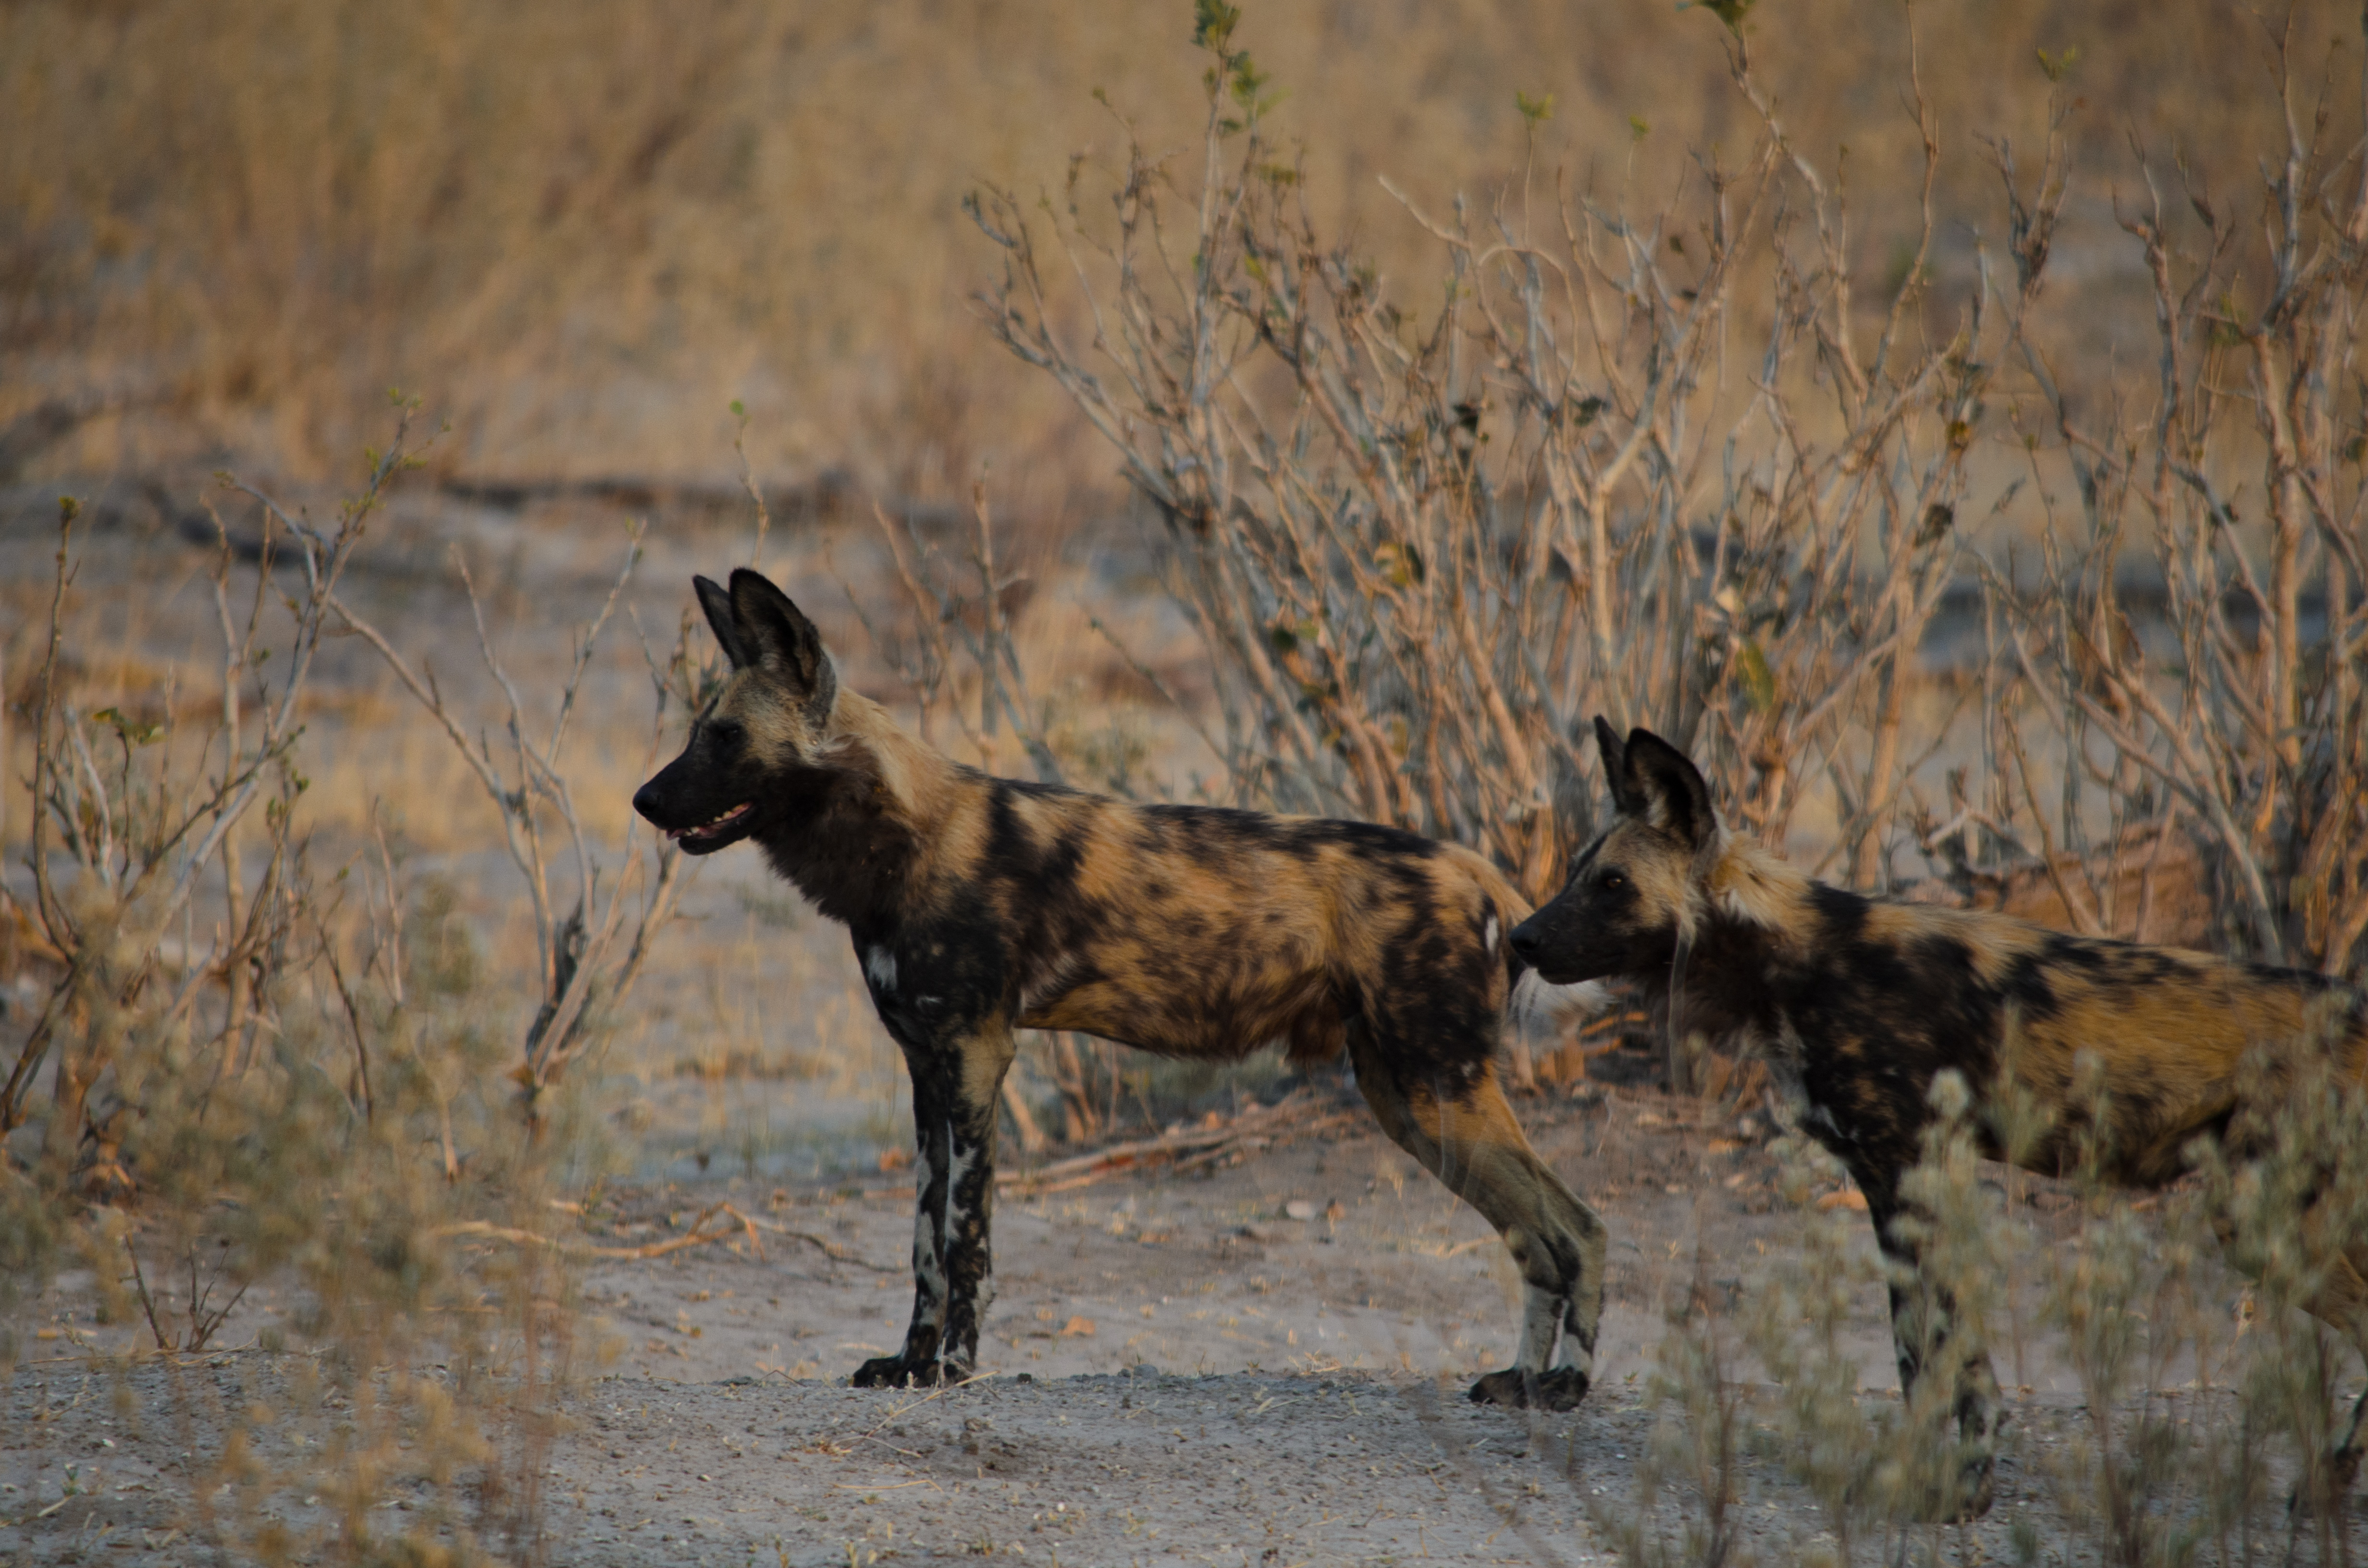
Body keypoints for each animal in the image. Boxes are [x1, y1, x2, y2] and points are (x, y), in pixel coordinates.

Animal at [634, 571, 1610, 1402]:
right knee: (1542, 1237)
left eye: (724, 736)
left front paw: (953, 1366)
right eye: (695, 730)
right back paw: (1521, 1383)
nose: (645, 800)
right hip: (1409, 1101)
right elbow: (921, 1241)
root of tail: (1484, 874)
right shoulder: (926, 1071)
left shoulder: (977, 1056)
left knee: (1576, 1227)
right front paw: (908, 1363)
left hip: (1434, 1087)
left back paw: (1564, 1386)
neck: (901, 835)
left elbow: (964, 1237)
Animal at [1506, 724, 2368, 1525]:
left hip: (2258, 1219)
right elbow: (1918, 1356)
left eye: (1613, 883)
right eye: (1578, 872)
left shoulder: (1916, 1172)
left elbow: (1951, 1355)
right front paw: (1938, 1479)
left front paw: (1956, 1489)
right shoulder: (1893, 1188)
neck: (1793, 958)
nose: (1519, 937)